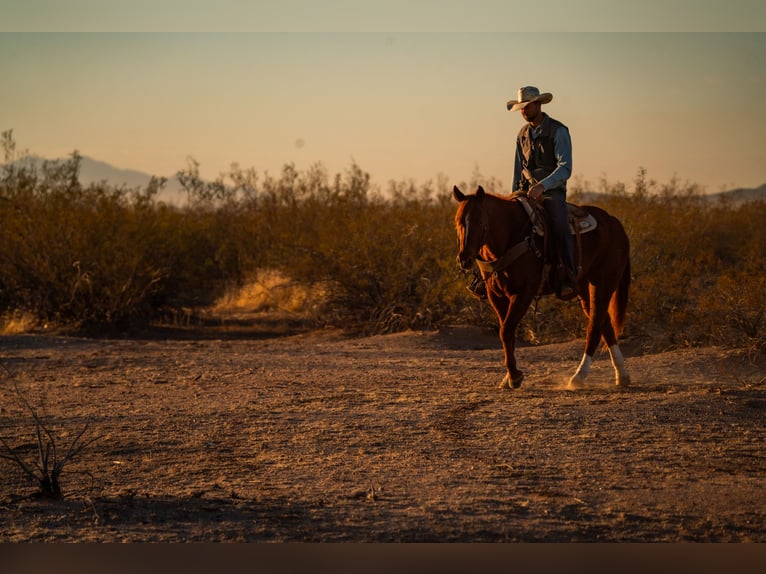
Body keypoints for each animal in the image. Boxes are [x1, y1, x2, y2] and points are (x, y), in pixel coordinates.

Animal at [456, 187, 632, 390]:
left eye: (480, 221)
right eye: (458, 222)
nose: (464, 259)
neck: (512, 235)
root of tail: (615, 223)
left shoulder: (523, 293)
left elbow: (506, 330)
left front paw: (514, 376)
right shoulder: (496, 296)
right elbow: (506, 331)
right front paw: (509, 376)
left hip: (603, 282)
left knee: (595, 325)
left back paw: (579, 376)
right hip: (584, 288)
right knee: (605, 323)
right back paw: (622, 374)